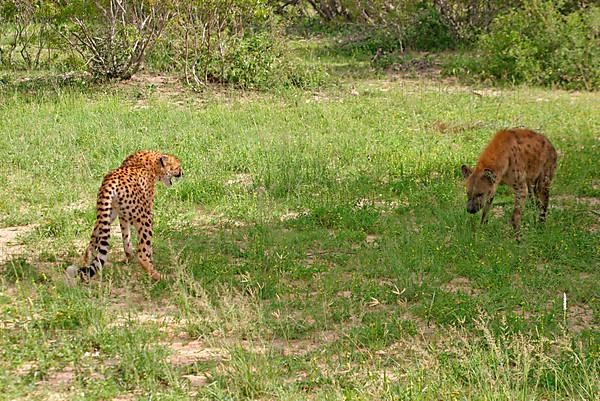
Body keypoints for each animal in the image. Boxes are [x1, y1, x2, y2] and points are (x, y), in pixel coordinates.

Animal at [74, 151, 180, 282]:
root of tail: (111, 180)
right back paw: (158, 276)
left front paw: (128, 255)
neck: (152, 162)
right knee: (142, 254)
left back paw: (86, 264)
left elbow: (125, 234)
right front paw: (147, 256)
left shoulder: (119, 214)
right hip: (145, 217)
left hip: (105, 214)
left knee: (94, 239)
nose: (182, 173)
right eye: (178, 167)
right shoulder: (144, 210)